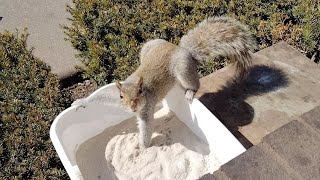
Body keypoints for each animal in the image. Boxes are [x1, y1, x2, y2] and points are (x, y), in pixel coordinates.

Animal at [115, 16, 258, 149]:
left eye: (140, 91)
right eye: (121, 96)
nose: (133, 106)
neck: (138, 81)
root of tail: (181, 49)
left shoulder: (147, 108)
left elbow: (147, 127)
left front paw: (142, 146)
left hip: (183, 69)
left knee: (195, 84)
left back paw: (190, 92)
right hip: (149, 46)